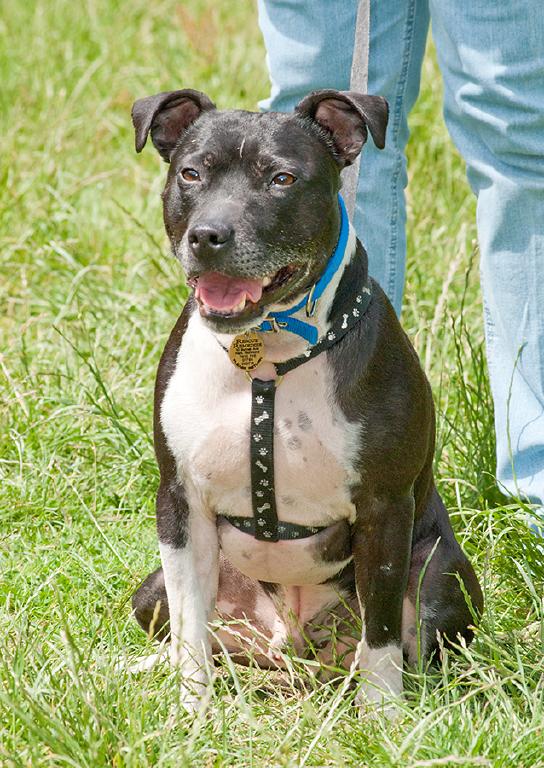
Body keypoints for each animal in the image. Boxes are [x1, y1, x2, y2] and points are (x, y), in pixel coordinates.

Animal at [130, 87, 482, 712]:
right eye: (191, 173)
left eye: (282, 179)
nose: (208, 235)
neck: (264, 356)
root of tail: (292, 651)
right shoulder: (179, 502)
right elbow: (191, 626)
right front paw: (191, 710)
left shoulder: (384, 510)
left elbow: (382, 630)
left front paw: (383, 717)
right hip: (151, 592)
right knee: (191, 630)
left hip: (443, 572)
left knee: (416, 644)